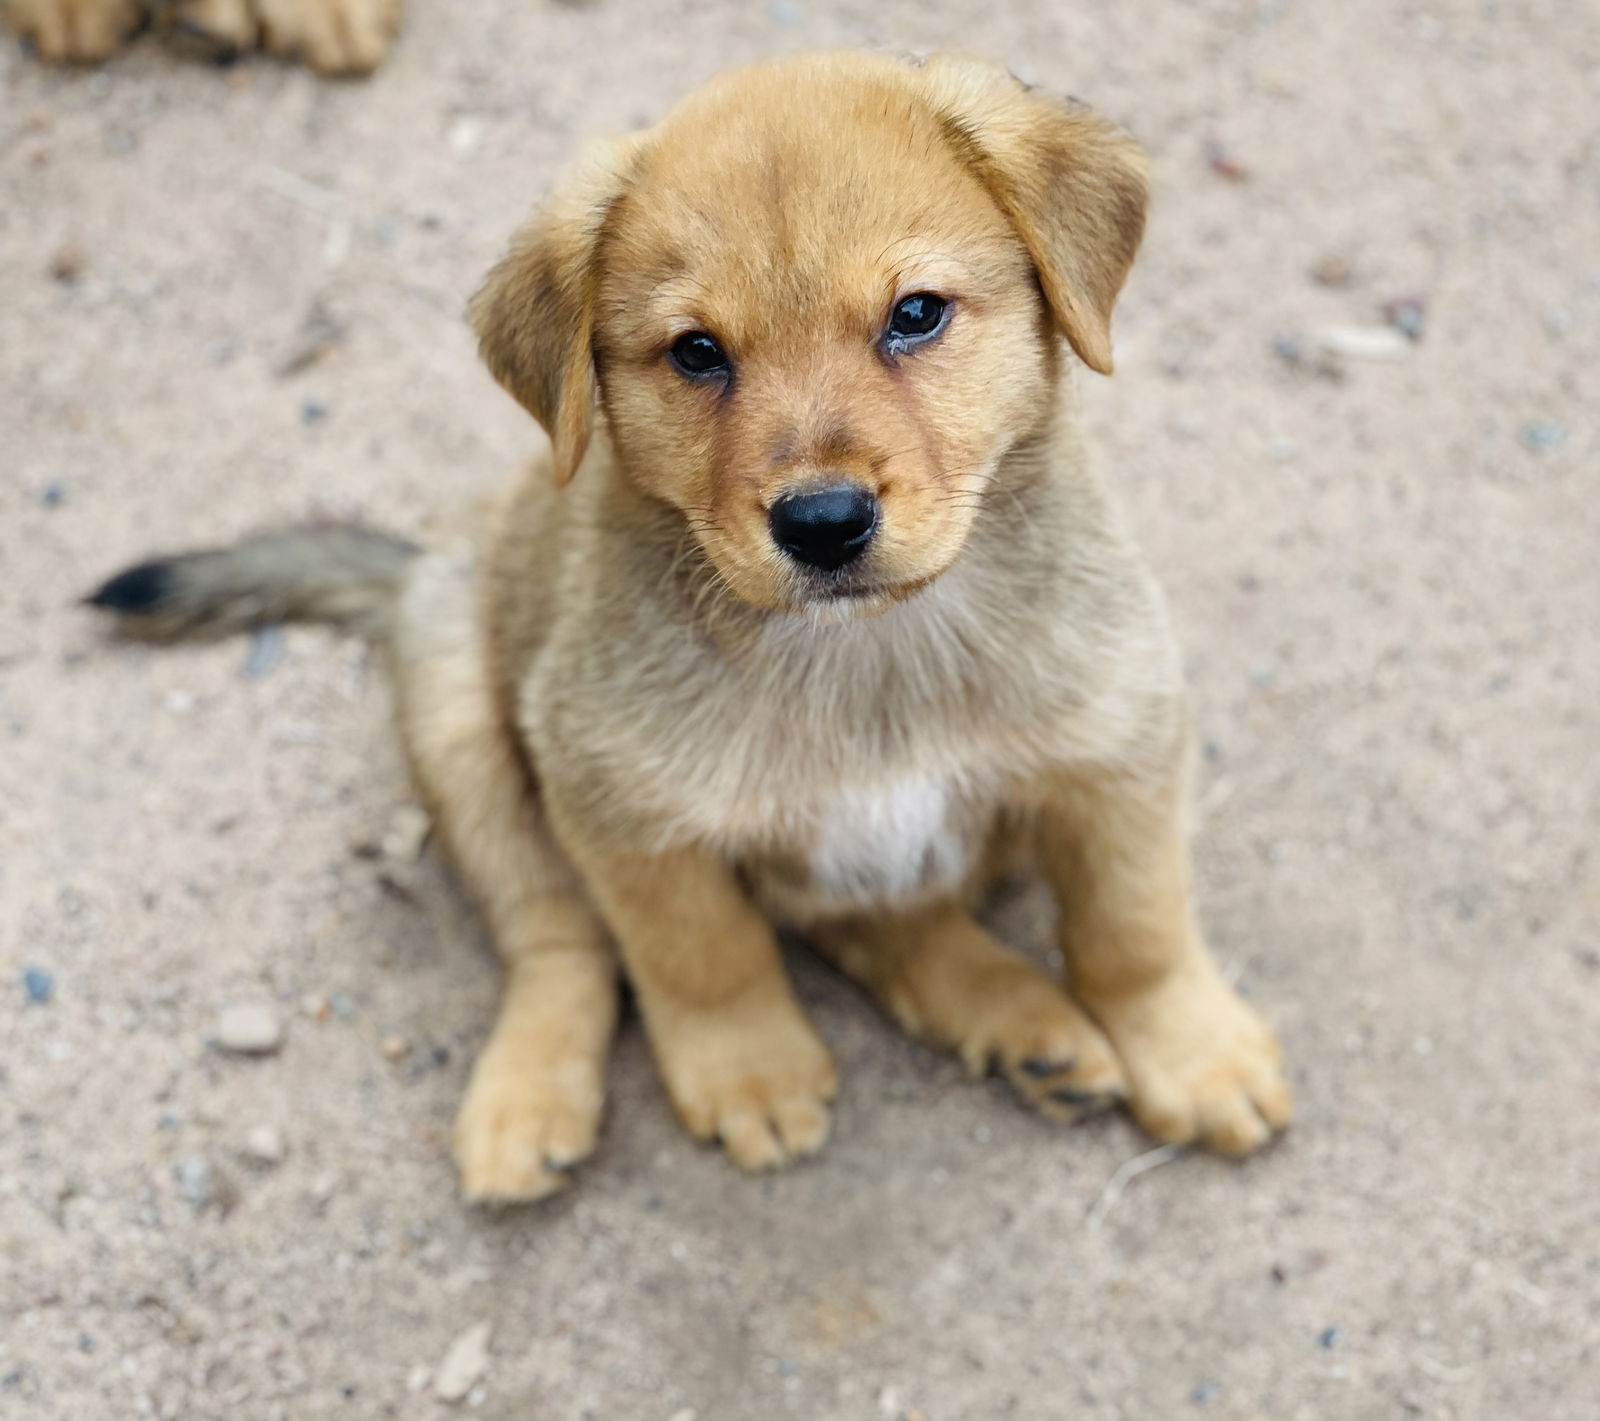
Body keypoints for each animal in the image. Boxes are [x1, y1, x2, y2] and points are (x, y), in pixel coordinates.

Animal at [87, 52, 1292, 1196]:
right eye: (696, 351)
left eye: (916, 314)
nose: (822, 524)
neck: (869, 657)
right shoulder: (621, 805)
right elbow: (702, 953)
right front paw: (749, 1071)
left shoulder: (1115, 749)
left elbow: (1134, 927)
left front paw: (1191, 1051)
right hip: (461, 725)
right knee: (558, 939)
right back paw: (528, 1097)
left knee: (876, 923)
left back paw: (1019, 1019)